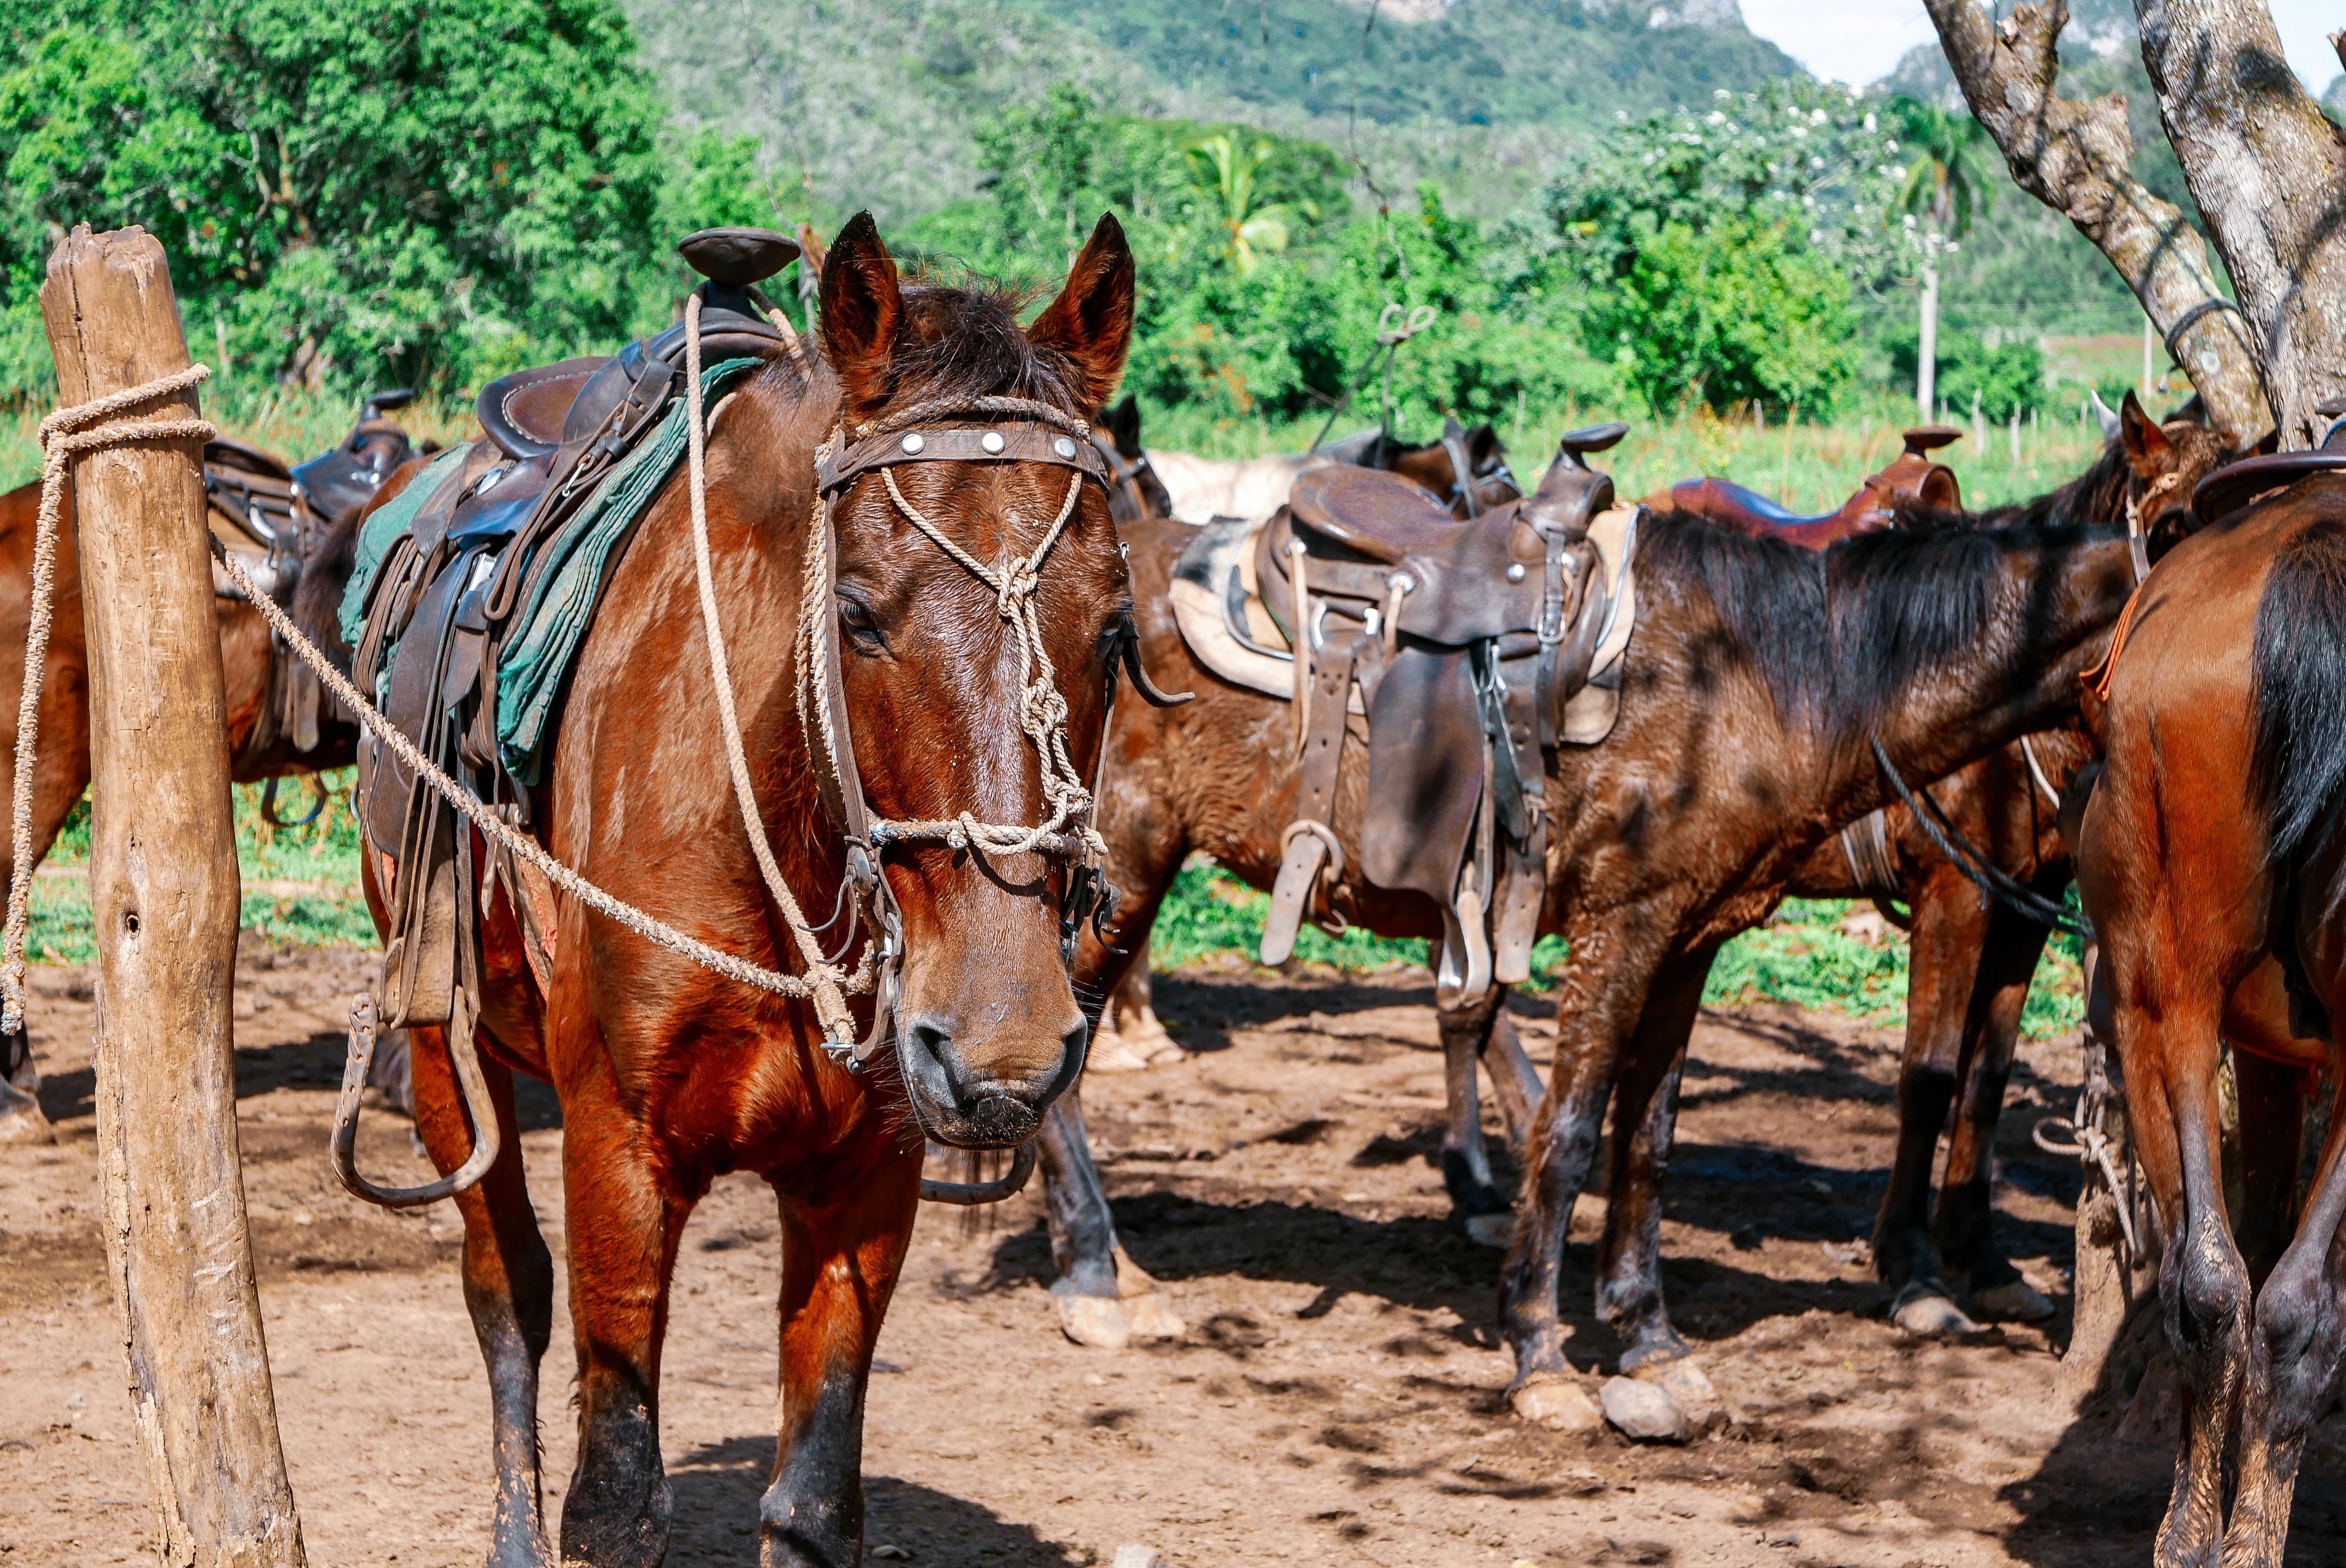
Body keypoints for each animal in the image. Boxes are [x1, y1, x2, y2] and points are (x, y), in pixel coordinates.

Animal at [347, 216, 1144, 1565]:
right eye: (858, 613)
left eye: (1117, 631)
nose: (1004, 1051)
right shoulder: (618, 1149)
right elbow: (614, 1498)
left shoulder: (866, 1172)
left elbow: (814, 1502)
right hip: (442, 1039)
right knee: (506, 1293)